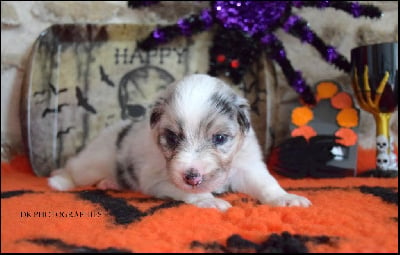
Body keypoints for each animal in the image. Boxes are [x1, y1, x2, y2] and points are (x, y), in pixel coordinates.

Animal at [49, 73, 310, 211]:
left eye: (220, 138)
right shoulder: (157, 179)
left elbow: (267, 183)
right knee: (72, 168)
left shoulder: (248, 165)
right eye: (173, 137)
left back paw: (109, 183)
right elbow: (184, 189)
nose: (192, 176)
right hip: (92, 162)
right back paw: (59, 181)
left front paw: (286, 198)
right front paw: (208, 200)